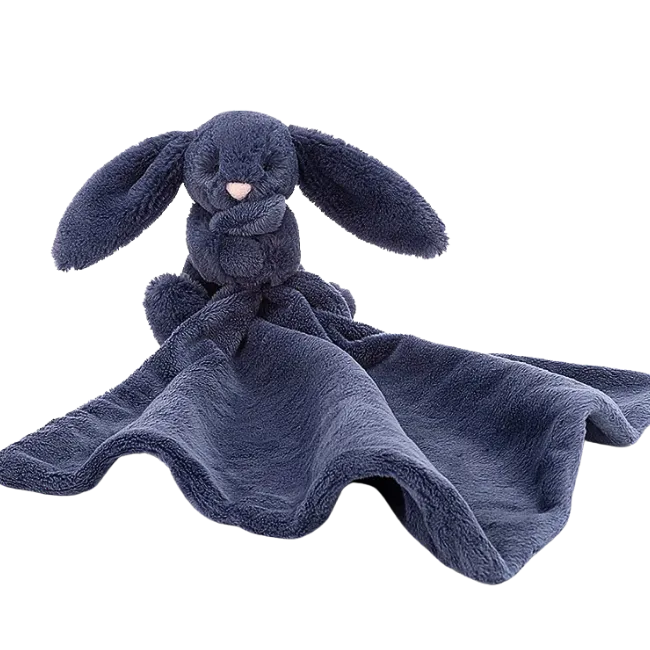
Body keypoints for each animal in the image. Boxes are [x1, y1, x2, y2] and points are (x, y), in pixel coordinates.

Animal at [51, 110, 449, 344]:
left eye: (270, 164)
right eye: (211, 166)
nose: (239, 190)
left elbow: (280, 247)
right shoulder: (205, 231)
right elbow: (213, 246)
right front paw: (243, 253)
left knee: (330, 297)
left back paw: (336, 300)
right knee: (169, 293)